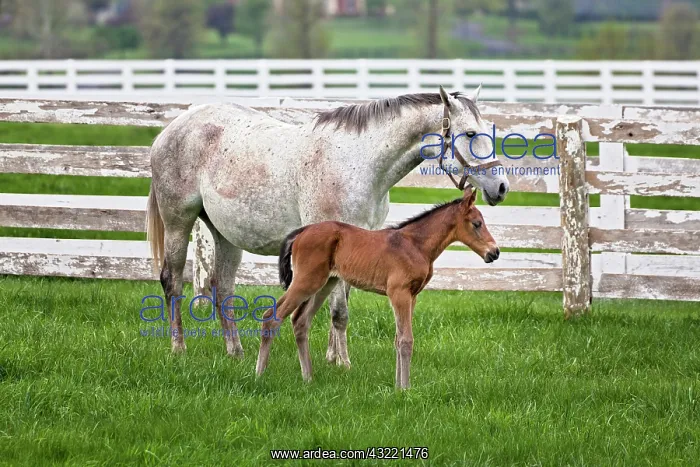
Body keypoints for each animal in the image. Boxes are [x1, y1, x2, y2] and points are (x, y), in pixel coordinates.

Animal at [146, 85, 510, 363]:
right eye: (470, 134)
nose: (501, 186)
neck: (359, 163)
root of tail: (170, 129)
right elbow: (338, 311)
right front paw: (343, 363)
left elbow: (341, 305)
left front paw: (333, 358)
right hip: (178, 224)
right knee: (172, 282)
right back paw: (178, 349)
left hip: (225, 236)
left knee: (222, 286)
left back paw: (235, 352)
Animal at [255, 186, 498, 389]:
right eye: (477, 224)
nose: (494, 252)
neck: (415, 245)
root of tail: (302, 232)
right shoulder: (398, 293)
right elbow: (406, 339)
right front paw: (405, 389)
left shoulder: (412, 295)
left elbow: (398, 338)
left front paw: (398, 386)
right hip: (307, 281)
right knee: (271, 317)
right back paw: (260, 374)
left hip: (325, 283)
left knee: (300, 321)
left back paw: (308, 378)